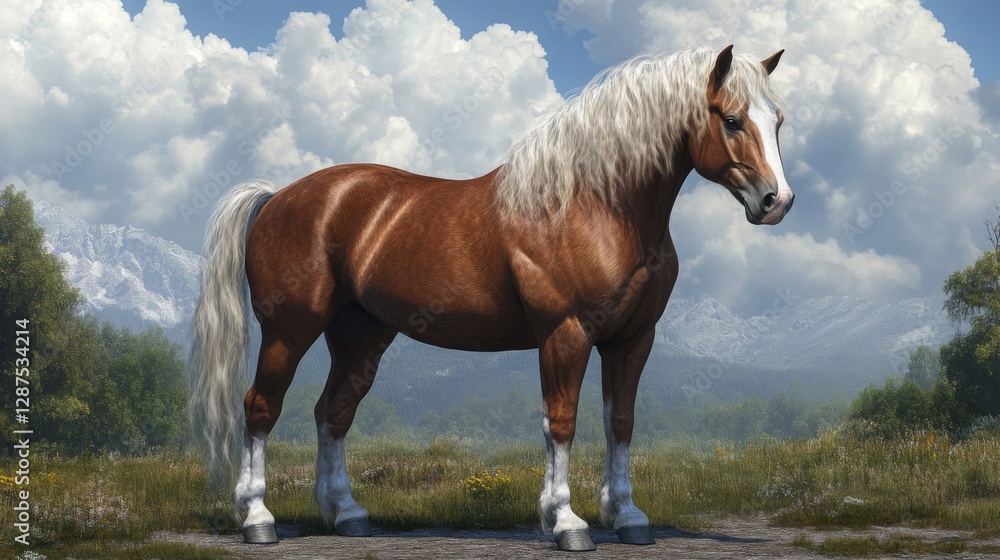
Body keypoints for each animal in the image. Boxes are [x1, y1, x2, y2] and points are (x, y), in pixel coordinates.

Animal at [190, 44, 792, 552]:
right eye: (732, 119)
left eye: (778, 120)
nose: (776, 201)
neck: (597, 204)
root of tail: (276, 197)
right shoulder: (565, 334)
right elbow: (562, 423)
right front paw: (566, 523)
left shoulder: (631, 340)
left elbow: (620, 422)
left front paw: (627, 518)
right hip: (289, 330)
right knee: (261, 408)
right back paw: (258, 520)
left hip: (360, 336)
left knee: (332, 413)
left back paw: (347, 515)